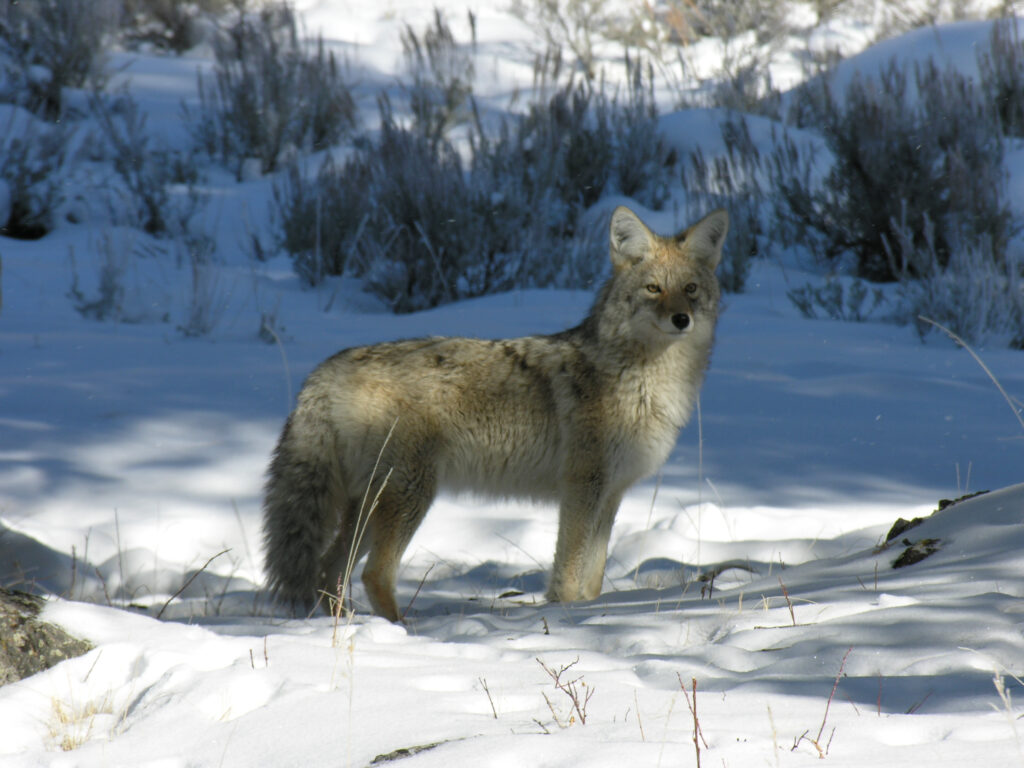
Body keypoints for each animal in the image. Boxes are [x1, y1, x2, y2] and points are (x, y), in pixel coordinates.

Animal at [262, 206, 728, 621]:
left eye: (690, 289)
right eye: (653, 289)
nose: (681, 319)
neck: (644, 380)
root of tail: (323, 373)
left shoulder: (611, 494)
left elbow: (592, 579)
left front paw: (585, 613)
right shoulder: (582, 489)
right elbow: (568, 573)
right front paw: (565, 616)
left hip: (369, 505)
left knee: (328, 569)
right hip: (410, 495)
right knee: (373, 574)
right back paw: (399, 631)